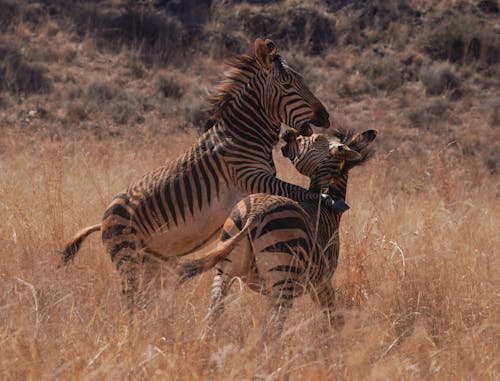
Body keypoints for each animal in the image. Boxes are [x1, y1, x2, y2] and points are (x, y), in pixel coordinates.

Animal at [178, 128, 376, 338]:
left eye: (312, 138)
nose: (287, 133)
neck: (325, 205)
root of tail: (256, 213)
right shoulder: (322, 280)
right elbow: (334, 316)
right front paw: (336, 340)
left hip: (227, 266)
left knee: (215, 309)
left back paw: (208, 340)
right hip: (283, 277)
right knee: (274, 327)